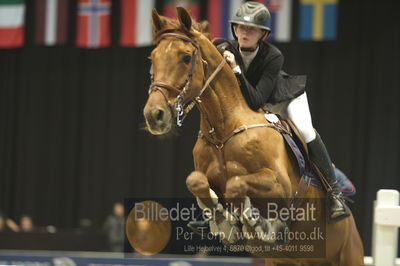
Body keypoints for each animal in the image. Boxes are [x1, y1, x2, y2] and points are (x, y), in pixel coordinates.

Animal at [144, 6, 366, 266]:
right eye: (153, 58)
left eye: (186, 57)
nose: (154, 115)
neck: (223, 132)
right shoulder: (204, 175)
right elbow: (196, 181)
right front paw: (223, 222)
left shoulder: (280, 186)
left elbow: (236, 183)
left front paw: (256, 223)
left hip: (349, 253)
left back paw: (336, 204)